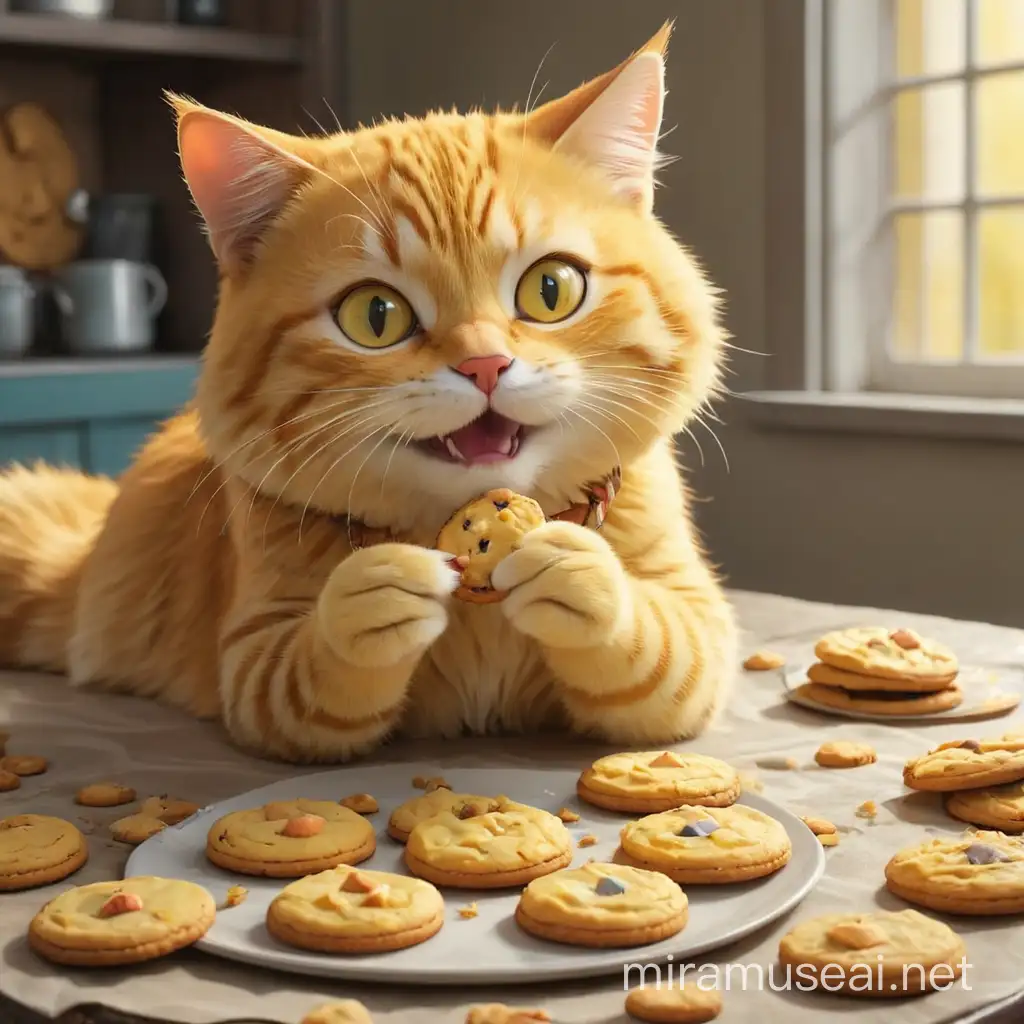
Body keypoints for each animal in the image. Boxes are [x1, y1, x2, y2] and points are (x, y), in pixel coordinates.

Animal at [0, 25, 737, 761]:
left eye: (550, 289)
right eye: (375, 316)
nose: (486, 365)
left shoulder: (698, 622)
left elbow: (668, 655)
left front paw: (579, 575)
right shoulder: (250, 659)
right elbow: (299, 682)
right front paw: (373, 596)